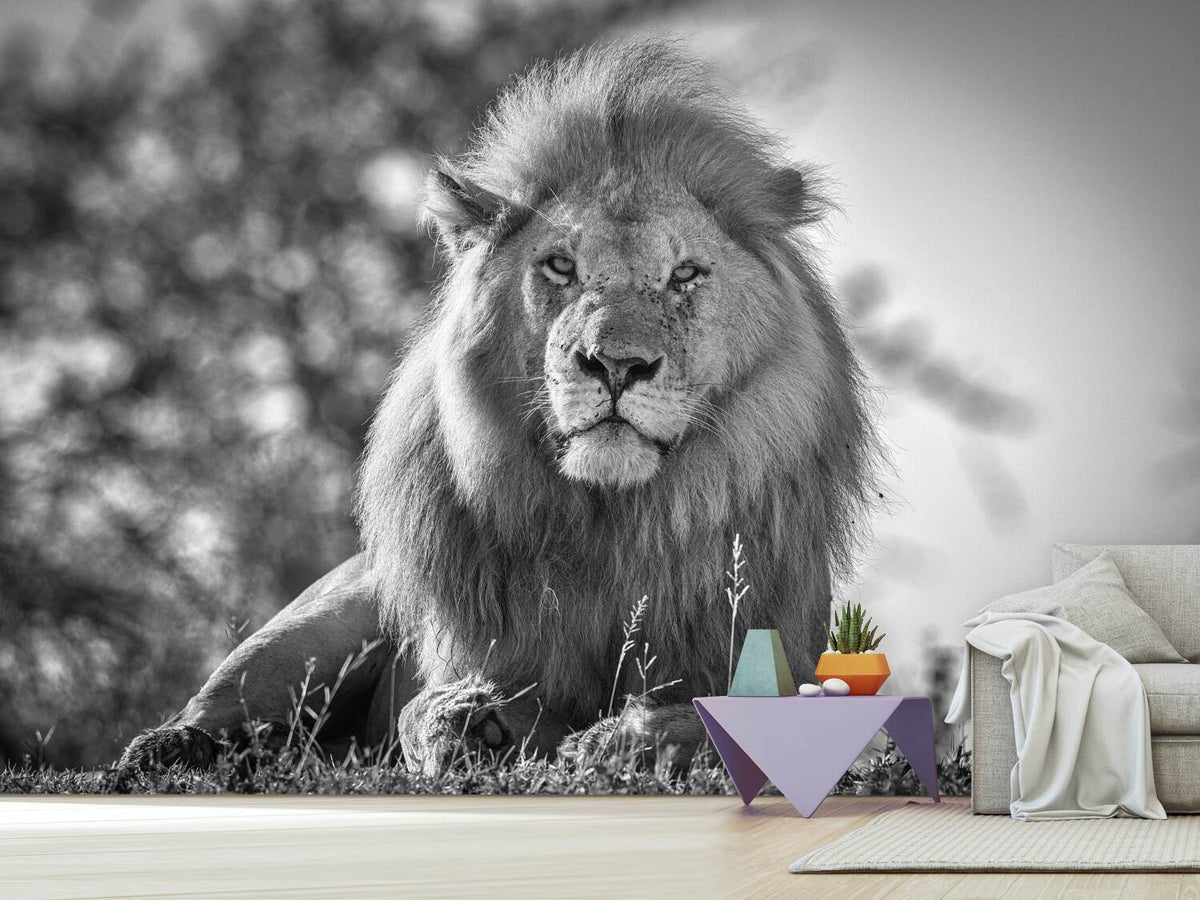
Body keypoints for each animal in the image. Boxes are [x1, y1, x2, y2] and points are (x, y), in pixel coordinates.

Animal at [118, 41, 875, 776]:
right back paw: (172, 751)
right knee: (223, 710)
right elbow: (418, 712)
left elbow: (713, 719)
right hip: (323, 620)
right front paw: (472, 723)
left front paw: (615, 740)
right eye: (561, 267)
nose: (616, 365)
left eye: (684, 274)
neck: (615, 525)